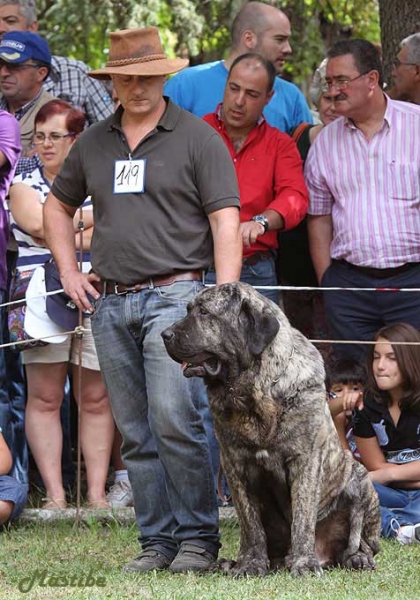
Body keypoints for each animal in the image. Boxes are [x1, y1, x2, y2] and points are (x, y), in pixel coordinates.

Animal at [162, 284, 380, 580]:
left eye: (205, 312)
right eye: (188, 310)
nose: (165, 334)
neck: (256, 390)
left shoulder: (305, 460)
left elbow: (302, 519)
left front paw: (304, 564)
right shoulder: (235, 465)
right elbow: (251, 525)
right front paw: (251, 565)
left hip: (361, 478)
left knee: (361, 542)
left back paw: (357, 558)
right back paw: (230, 563)